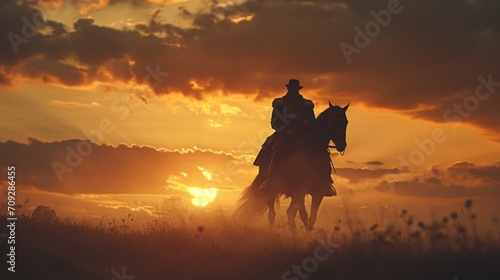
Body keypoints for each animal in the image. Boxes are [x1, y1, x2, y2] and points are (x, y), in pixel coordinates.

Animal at [234, 101, 348, 233]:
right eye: (331, 121)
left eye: (345, 121)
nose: (342, 145)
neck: (311, 152)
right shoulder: (300, 191)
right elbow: (304, 215)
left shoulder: (317, 192)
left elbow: (312, 218)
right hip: (272, 190)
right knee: (272, 214)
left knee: (289, 213)